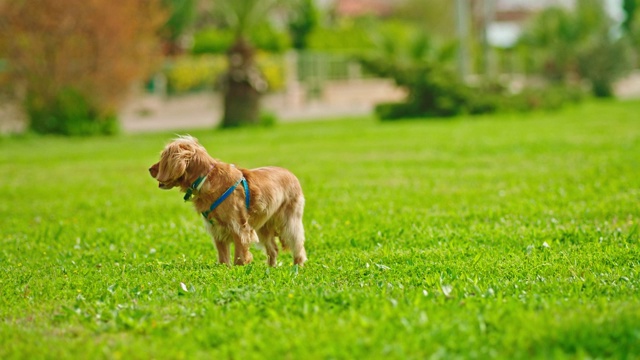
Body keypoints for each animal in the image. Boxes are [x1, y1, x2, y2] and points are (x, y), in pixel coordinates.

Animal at [151, 136, 308, 266]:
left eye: (163, 158)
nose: (149, 169)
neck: (206, 178)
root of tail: (291, 174)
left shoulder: (239, 228)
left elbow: (239, 256)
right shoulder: (217, 230)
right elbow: (223, 257)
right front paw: (224, 269)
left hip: (289, 222)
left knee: (298, 246)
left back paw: (297, 267)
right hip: (264, 226)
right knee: (273, 249)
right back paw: (271, 268)